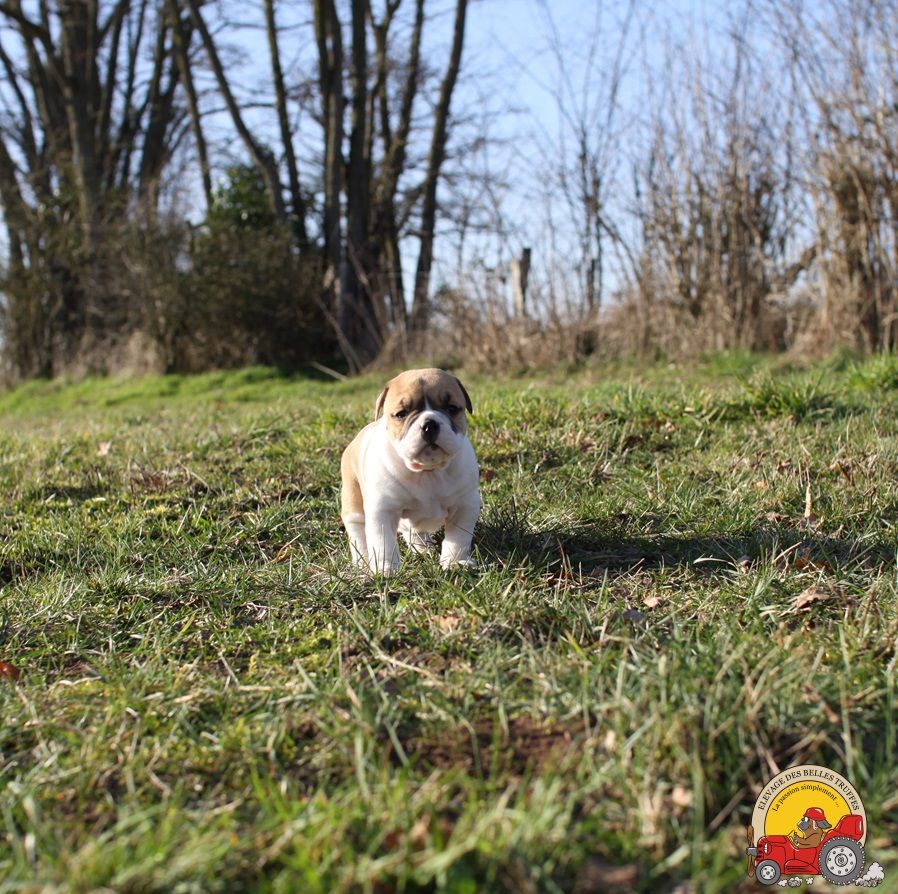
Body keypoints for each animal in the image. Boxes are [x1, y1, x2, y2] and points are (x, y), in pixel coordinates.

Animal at [340, 368, 480, 575]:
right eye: (401, 414)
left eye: (452, 408)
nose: (430, 425)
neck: (427, 471)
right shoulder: (384, 510)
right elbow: (383, 543)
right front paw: (386, 569)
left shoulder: (464, 506)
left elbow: (458, 538)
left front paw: (456, 562)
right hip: (354, 505)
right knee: (359, 534)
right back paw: (363, 564)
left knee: (414, 532)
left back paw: (423, 549)